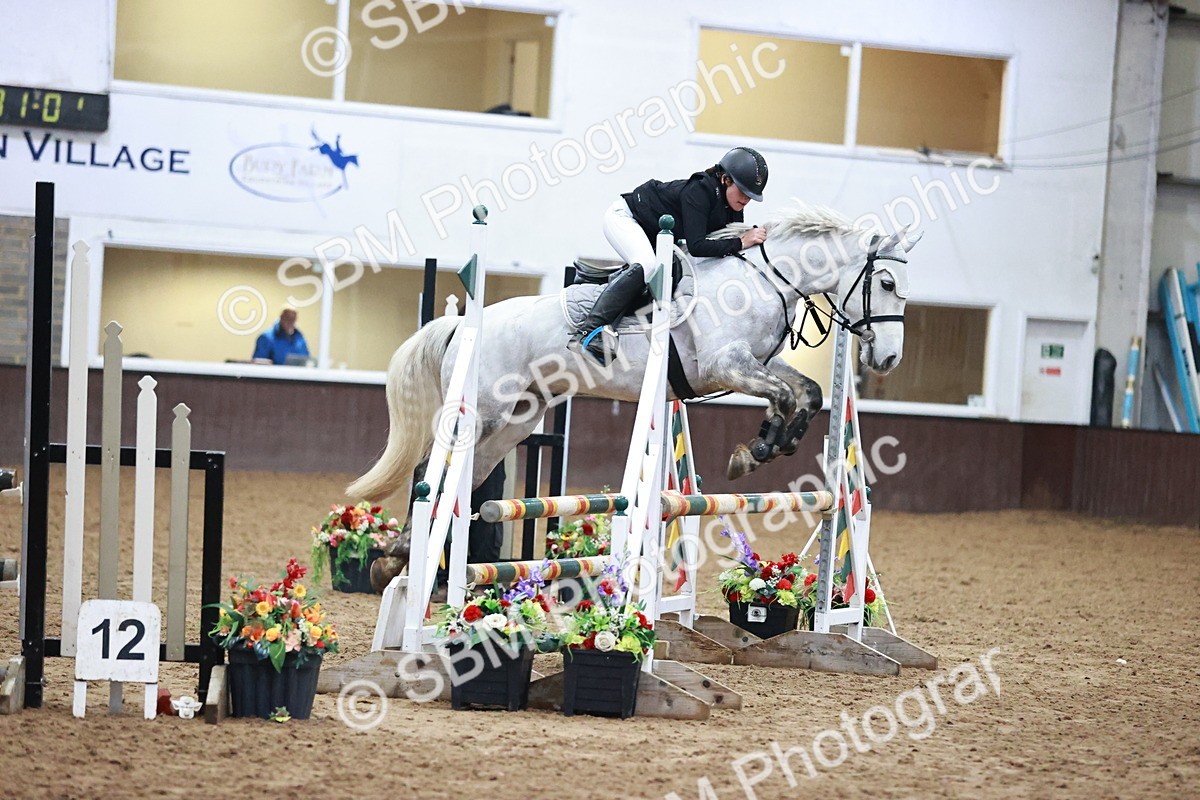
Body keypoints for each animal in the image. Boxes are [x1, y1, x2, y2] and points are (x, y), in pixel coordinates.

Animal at [348, 205, 918, 509]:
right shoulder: (727, 365)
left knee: (471, 475)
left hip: (517, 419)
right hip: (483, 411)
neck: (764, 277)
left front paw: (776, 442)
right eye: (888, 283)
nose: (890, 358)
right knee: (435, 469)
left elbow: (808, 391)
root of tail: (465, 324)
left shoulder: (755, 361)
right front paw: (758, 449)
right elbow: (781, 394)